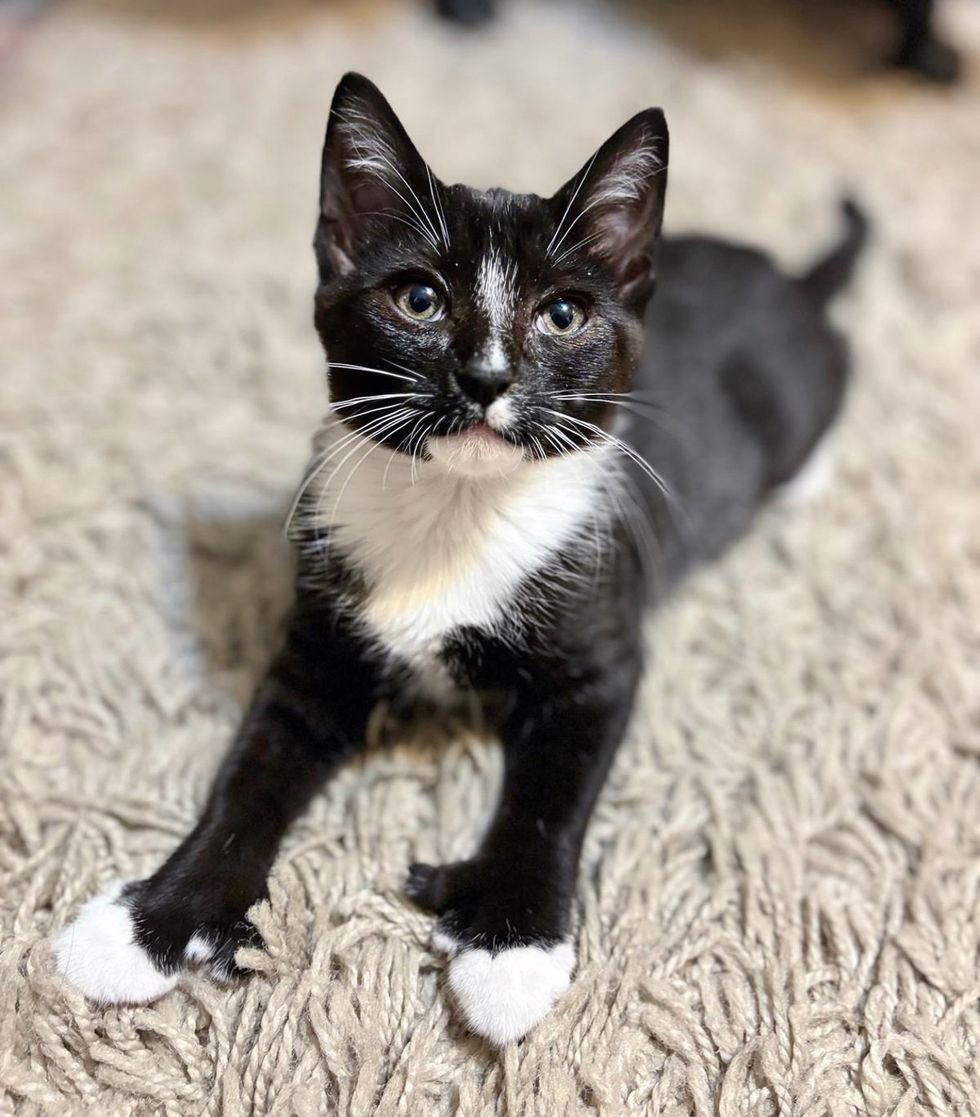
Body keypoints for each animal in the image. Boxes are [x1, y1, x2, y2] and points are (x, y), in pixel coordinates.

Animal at [55, 74, 862, 1041]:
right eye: (419, 300)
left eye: (562, 314)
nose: (485, 378)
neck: (457, 510)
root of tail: (786, 277)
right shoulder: (316, 642)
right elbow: (248, 777)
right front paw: (152, 923)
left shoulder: (602, 652)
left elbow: (550, 794)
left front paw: (510, 944)